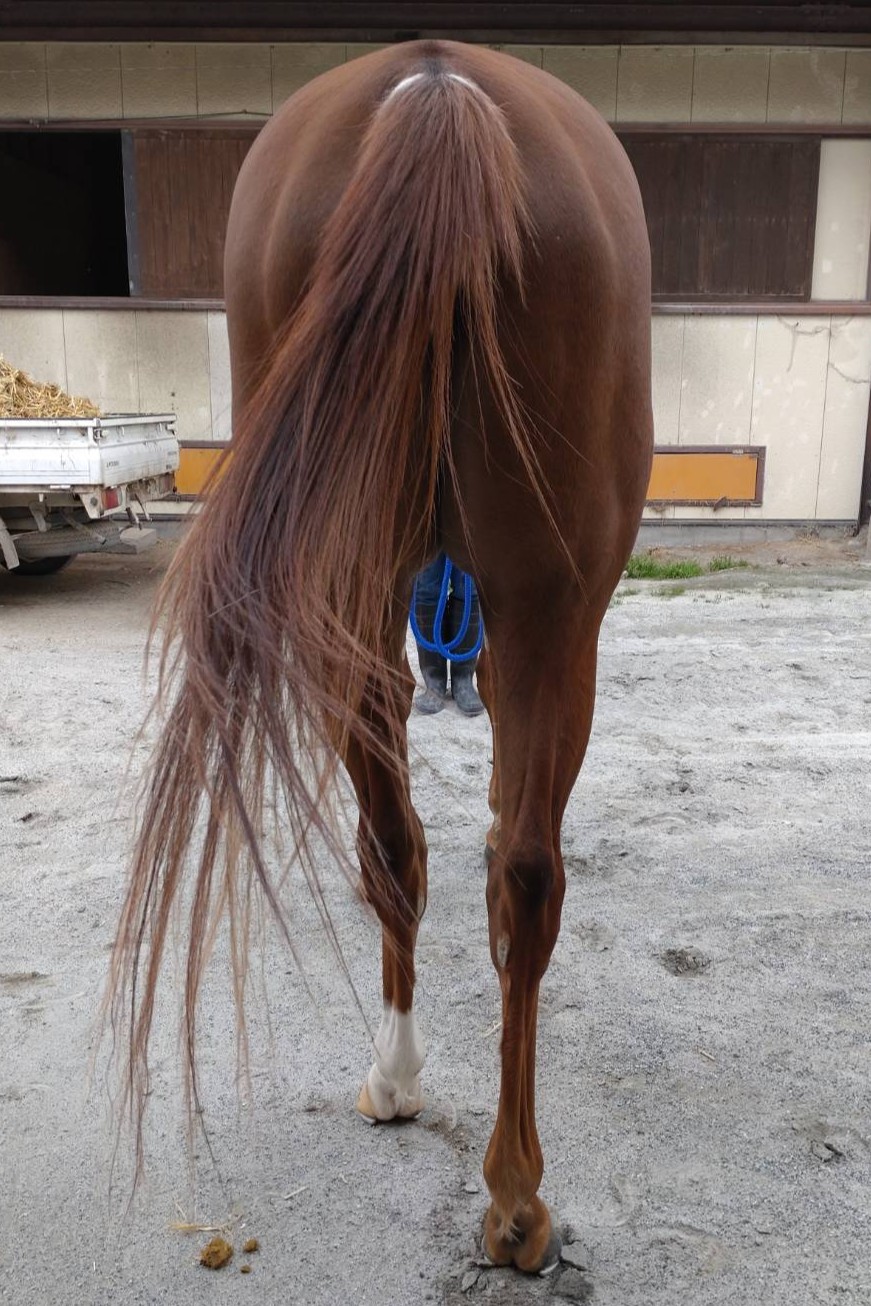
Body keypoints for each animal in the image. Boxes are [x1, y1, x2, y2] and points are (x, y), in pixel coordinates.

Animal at [108, 39, 653, 1275]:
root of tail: (437, 86)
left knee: (424, 850)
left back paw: (439, 1122)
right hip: (543, 611)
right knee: (511, 867)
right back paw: (507, 1191)